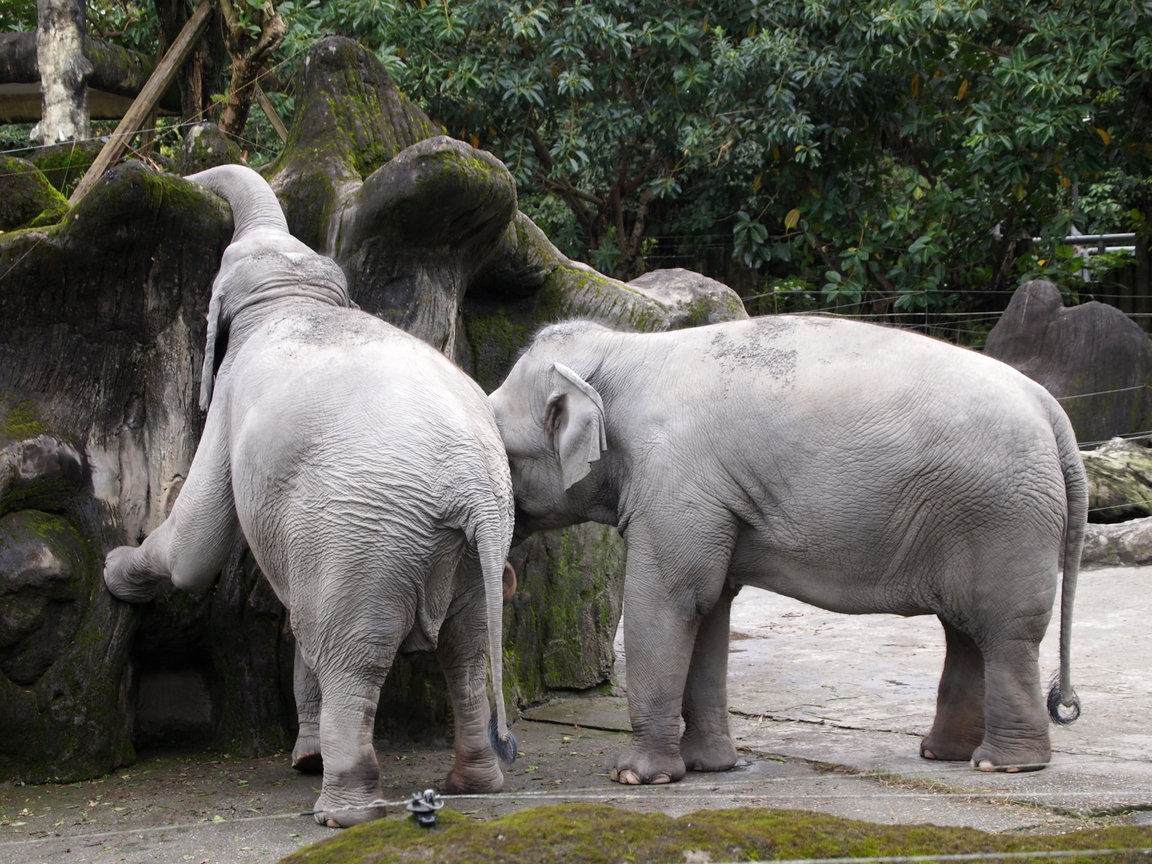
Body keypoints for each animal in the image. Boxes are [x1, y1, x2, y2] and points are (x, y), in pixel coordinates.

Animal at [103, 163, 518, 834]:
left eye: (220, 269)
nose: (168, 167)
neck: (293, 292)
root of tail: (474, 488)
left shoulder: (228, 400)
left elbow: (197, 544)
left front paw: (113, 572)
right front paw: (304, 754)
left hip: (369, 536)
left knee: (355, 655)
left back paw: (343, 812)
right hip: (467, 551)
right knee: (465, 649)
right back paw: (471, 785)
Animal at [490, 315, 1082, 783]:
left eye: (504, 455)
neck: (619, 351)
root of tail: (1049, 408)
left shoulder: (675, 478)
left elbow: (669, 600)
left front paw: (638, 778)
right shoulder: (711, 498)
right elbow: (710, 608)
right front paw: (709, 767)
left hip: (1003, 515)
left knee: (1004, 632)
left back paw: (1005, 765)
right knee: (964, 629)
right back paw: (946, 754)